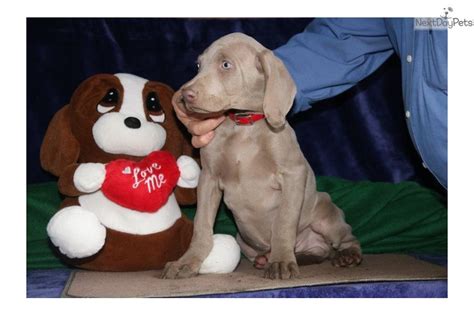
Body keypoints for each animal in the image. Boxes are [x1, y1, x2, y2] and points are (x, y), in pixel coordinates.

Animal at [161, 32, 362, 278]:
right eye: (199, 65)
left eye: (225, 64)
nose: (184, 95)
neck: (243, 125)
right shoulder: (208, 178)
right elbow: (201, 224)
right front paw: (187, 262)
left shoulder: (293, 174)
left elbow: (284, 222)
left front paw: (282, 261)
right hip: (243, 239)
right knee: (318, 253)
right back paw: (277, 258)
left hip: (326, 213)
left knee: (346, 237)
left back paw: (345, 255)